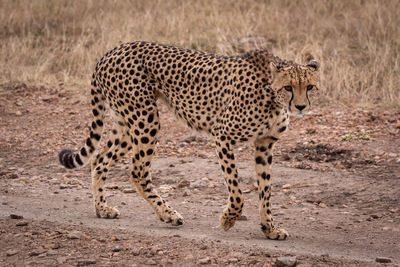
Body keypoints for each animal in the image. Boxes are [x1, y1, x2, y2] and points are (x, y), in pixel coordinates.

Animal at [58, 41, 318, 241]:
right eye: (288, 87)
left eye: (310, 87)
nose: (301, 106)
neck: (272, 95)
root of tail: (111, 51)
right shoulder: (222, 134)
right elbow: (237, 191)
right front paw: (228, 220)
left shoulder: (265, 143)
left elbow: (265, 190)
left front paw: (270, 228)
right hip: (145, 119)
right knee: (138, 172)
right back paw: (168, 214)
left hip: (126, 122)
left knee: (99, 160)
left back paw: (102, 208)